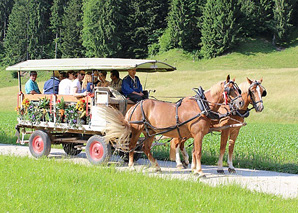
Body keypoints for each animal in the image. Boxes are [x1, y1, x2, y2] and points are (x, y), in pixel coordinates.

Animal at [101, 75, 243, 178]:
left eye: (239, 89)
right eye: (230, 90)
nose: (241, 102)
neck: (201, 106)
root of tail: (135, 106)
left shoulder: (196, 135)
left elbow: (193, 152)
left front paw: (194, 170)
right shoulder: (198, 134)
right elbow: (198, 152)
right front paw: (200, 172)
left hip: (149, 132)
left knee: (146, 148)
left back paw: (157, 167)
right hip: (137, 130)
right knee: (131, 146)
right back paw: (131, 166)